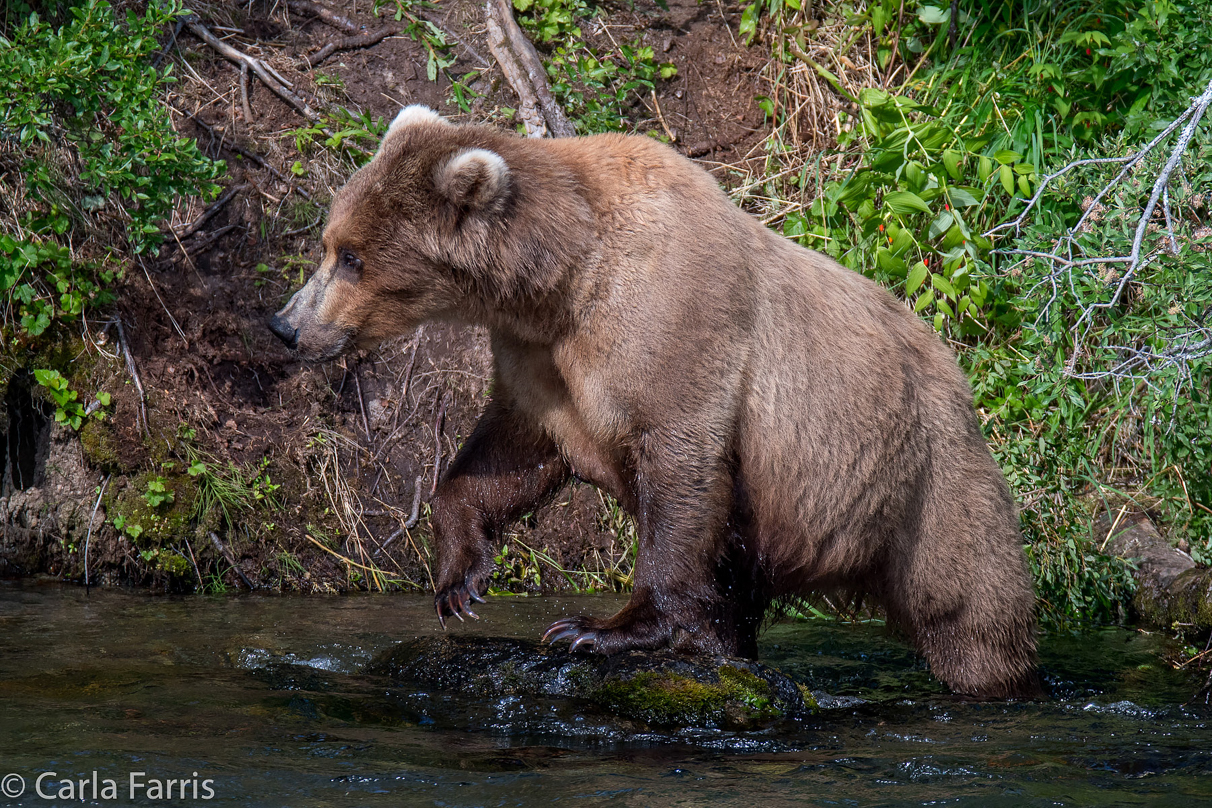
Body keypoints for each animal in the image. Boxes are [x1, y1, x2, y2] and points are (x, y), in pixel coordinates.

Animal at [270, 105, 1037, 702]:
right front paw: (461, 580)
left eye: (352, 257)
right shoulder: (542, 359)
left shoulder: (672, 324)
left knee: (967, 600)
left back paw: (995, 677)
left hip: (920, 472)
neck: (564, 278)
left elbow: (680, 476)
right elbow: (509, 450)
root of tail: (955, 365)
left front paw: (597, 629)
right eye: (331, 242)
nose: (285, 325)